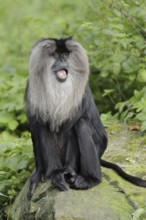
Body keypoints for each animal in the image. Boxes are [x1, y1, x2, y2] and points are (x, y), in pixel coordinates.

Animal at [25, 37, 146, 199]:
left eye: (66, 55)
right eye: (56, 55)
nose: (63, 60)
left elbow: (72, 128)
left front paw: (68, 172)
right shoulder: (31, 92)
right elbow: (37, 128)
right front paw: (39, 174)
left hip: (97, 148)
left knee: (81, 124)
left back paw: (89, 178)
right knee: (45, 127)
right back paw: (54, 173)